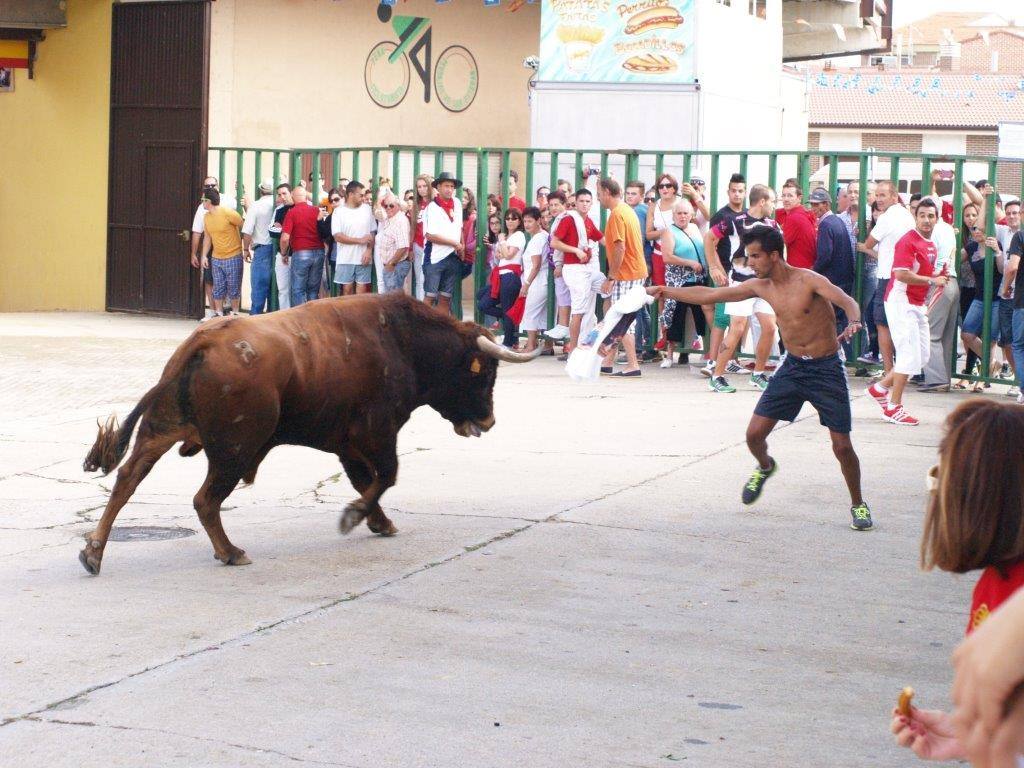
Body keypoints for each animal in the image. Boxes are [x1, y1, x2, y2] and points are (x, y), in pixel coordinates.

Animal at [81, 294, 536, 577]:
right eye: (485, 373)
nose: (489, 421)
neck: (402, 342)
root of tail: (202, 343)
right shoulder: (378, 433)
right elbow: (385, 476)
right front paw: (355, 517)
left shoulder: (347, 445)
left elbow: (367, 481)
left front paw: (378, 521)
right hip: (234, 451)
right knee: (204, 499)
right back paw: (231, 552)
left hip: (159, 432)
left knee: (127, 481)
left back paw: (93, 552)